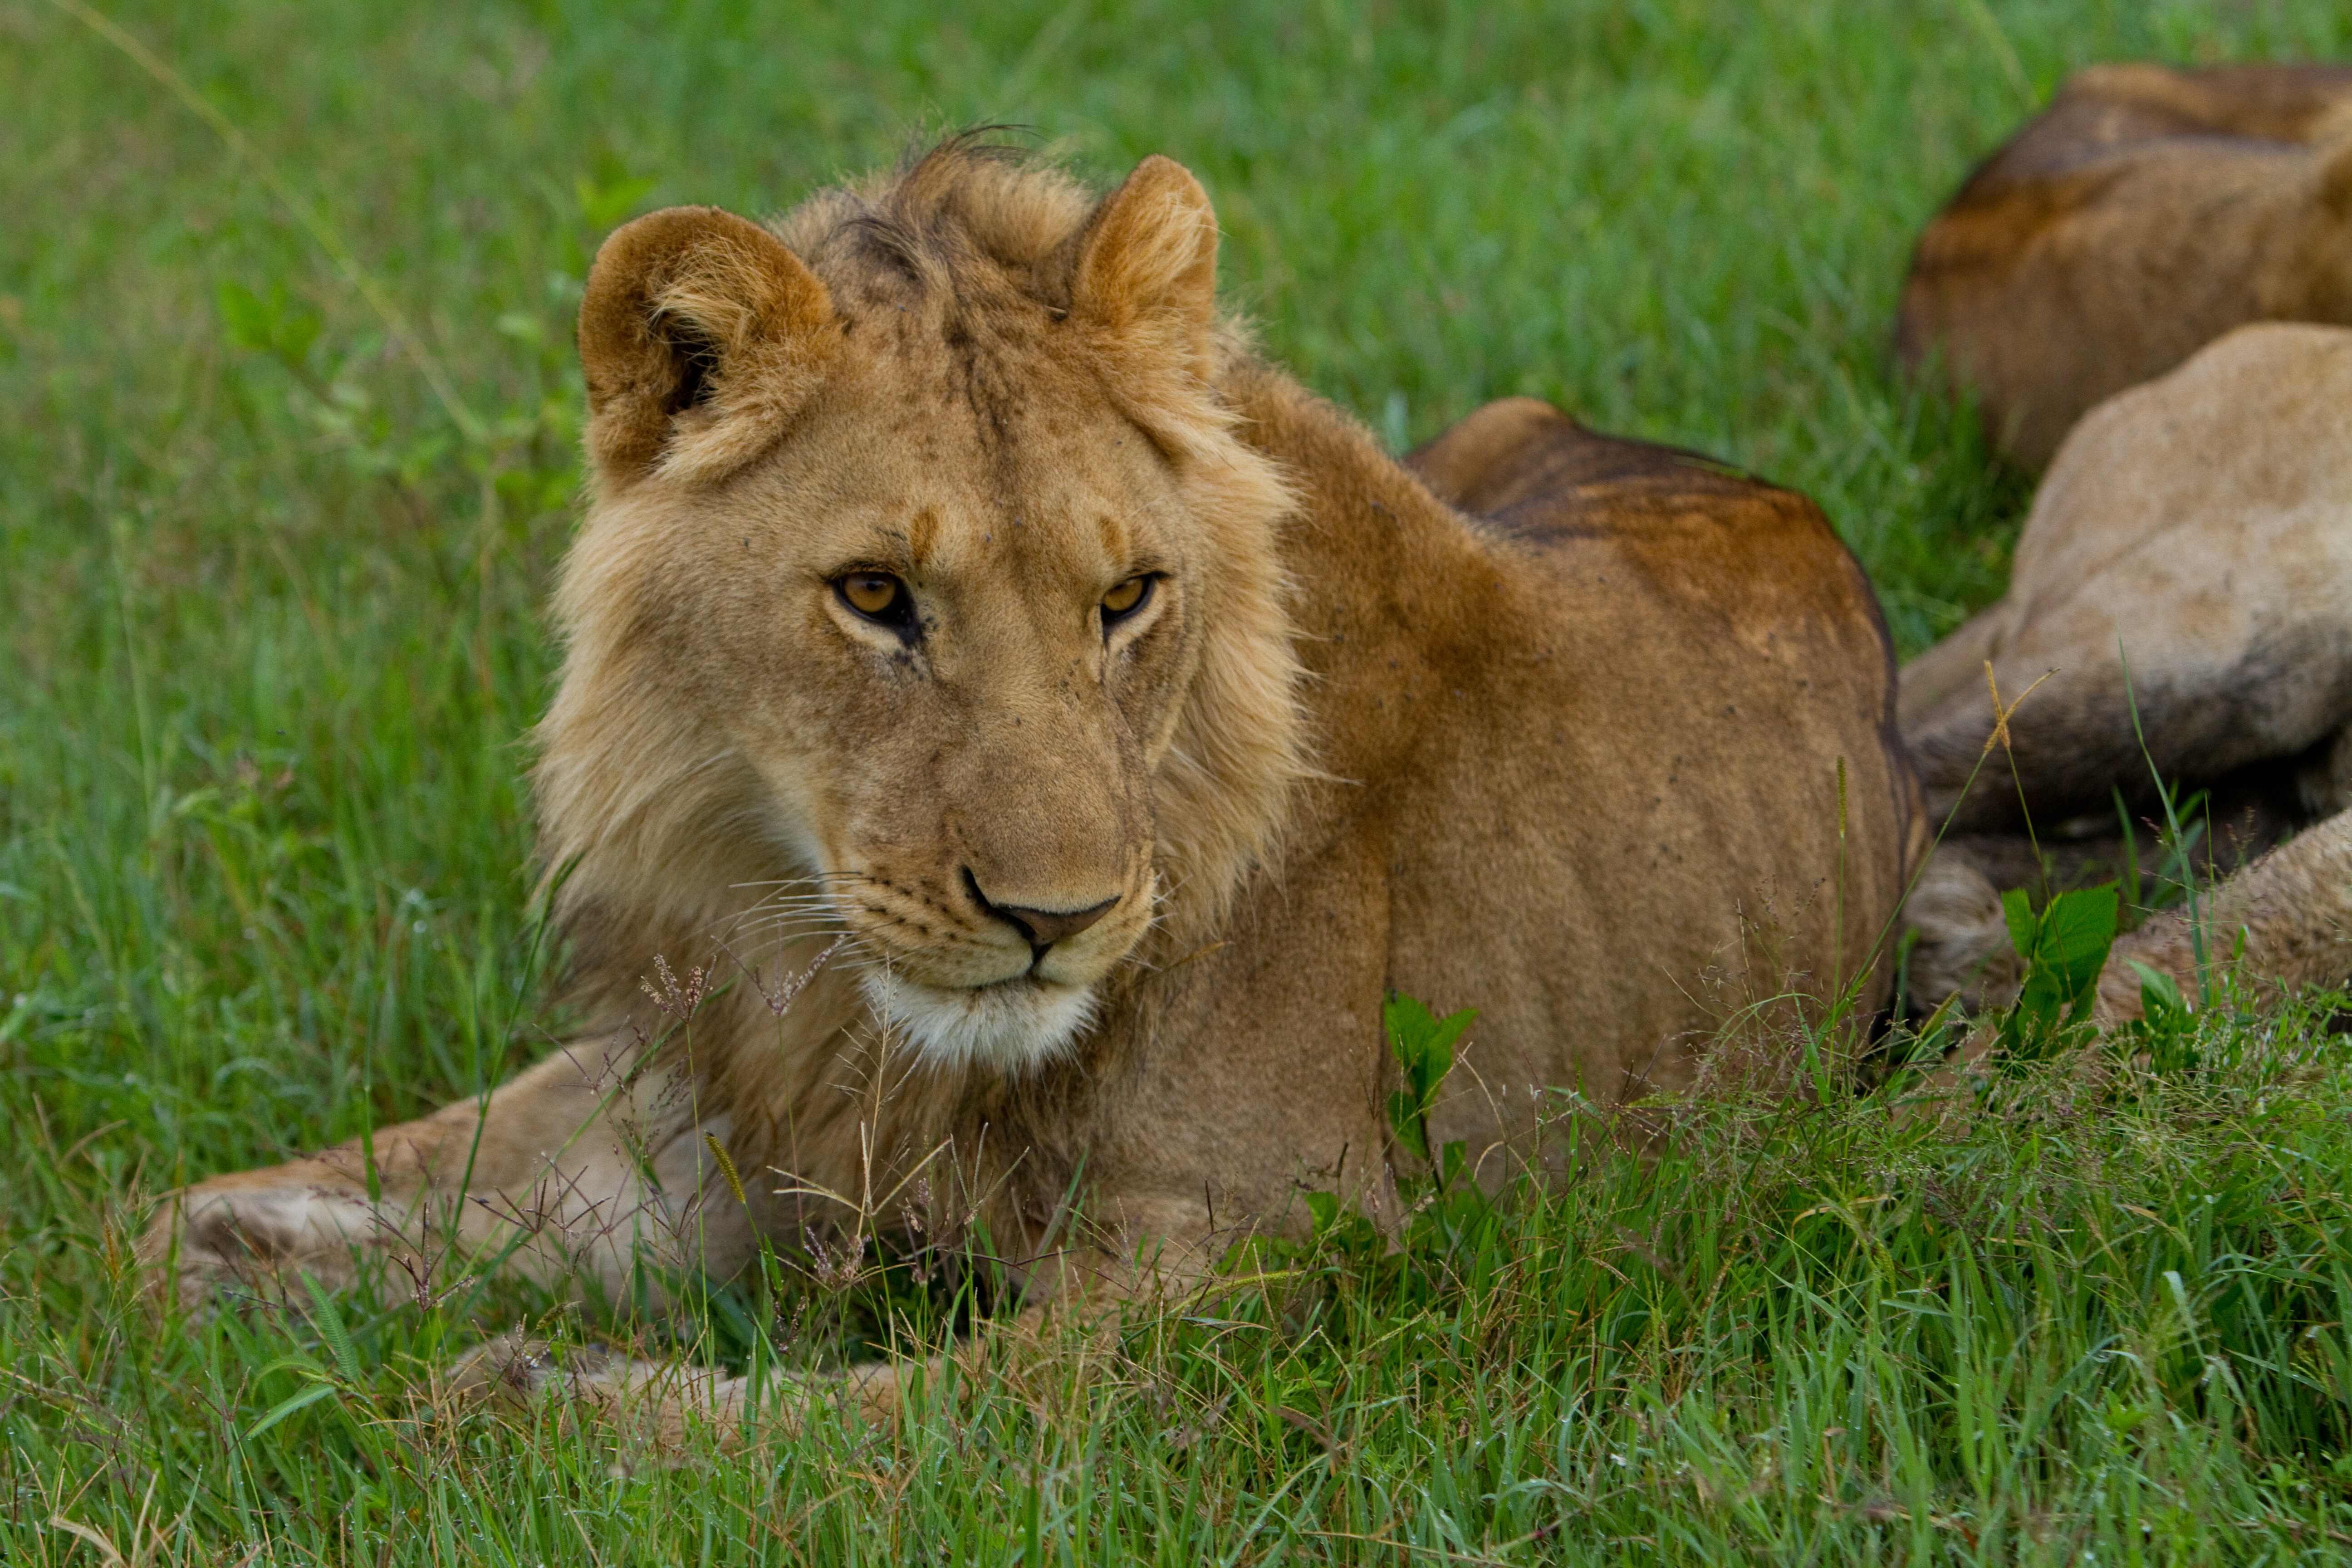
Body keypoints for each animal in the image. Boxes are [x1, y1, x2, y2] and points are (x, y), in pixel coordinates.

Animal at [141, 142, 1914, 1437]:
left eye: (1125, 597)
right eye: (873, 595)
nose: (1055, 919)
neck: (836, 995)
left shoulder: (1267, 1267)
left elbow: (863, 1426)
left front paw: (504, 1400)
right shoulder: (734, 1114)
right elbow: (431, 1185)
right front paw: (214, 1261)